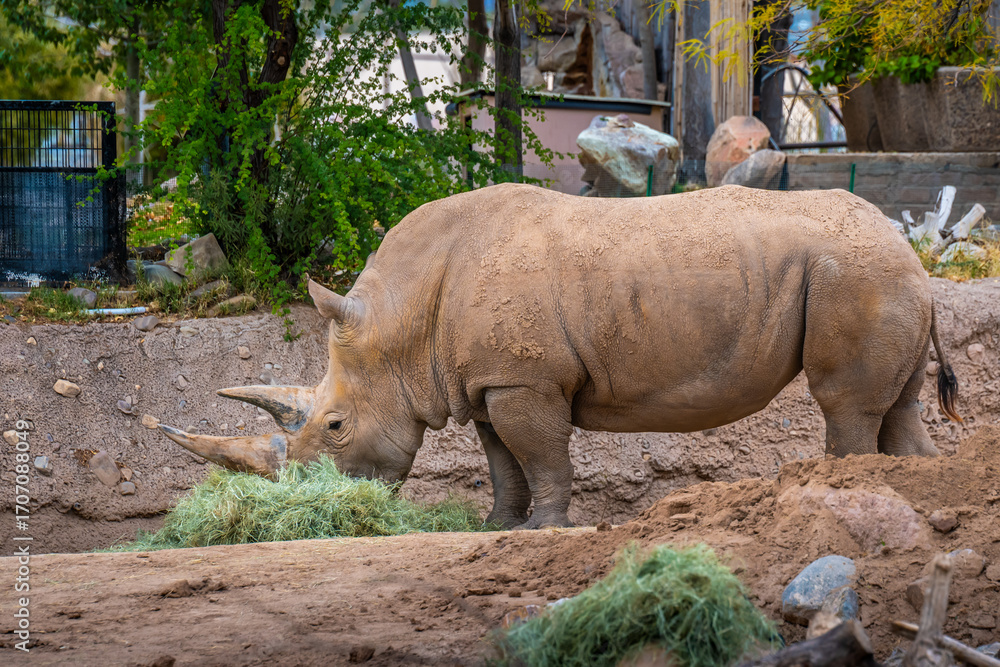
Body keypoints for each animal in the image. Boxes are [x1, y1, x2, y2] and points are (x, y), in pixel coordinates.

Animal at [160, 184, 960, 529]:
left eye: (333, 427)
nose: (306, 497)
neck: (401, 322)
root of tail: (911, 249)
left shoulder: (523, 379)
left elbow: (542, 454)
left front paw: (544, 529)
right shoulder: (485, 382)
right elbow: (501, 460)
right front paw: (499, 527)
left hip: (854, 274)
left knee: (845, 404)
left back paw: (841, 493)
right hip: (876, 275)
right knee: (897, 407)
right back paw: (923, 492)